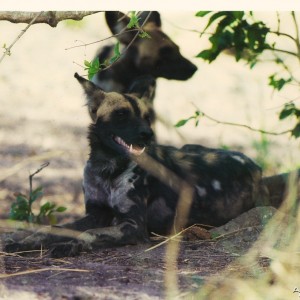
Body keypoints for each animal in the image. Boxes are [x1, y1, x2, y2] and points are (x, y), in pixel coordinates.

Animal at [6, 73, 290, 258]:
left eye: (146, 117)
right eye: (122, 114)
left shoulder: (132, 226)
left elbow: (91, 234)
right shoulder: (95, 213)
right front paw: (25, 241)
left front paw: (69, 246)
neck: (107, 169)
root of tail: (257, 168)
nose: (148, 134)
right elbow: (53, 228)